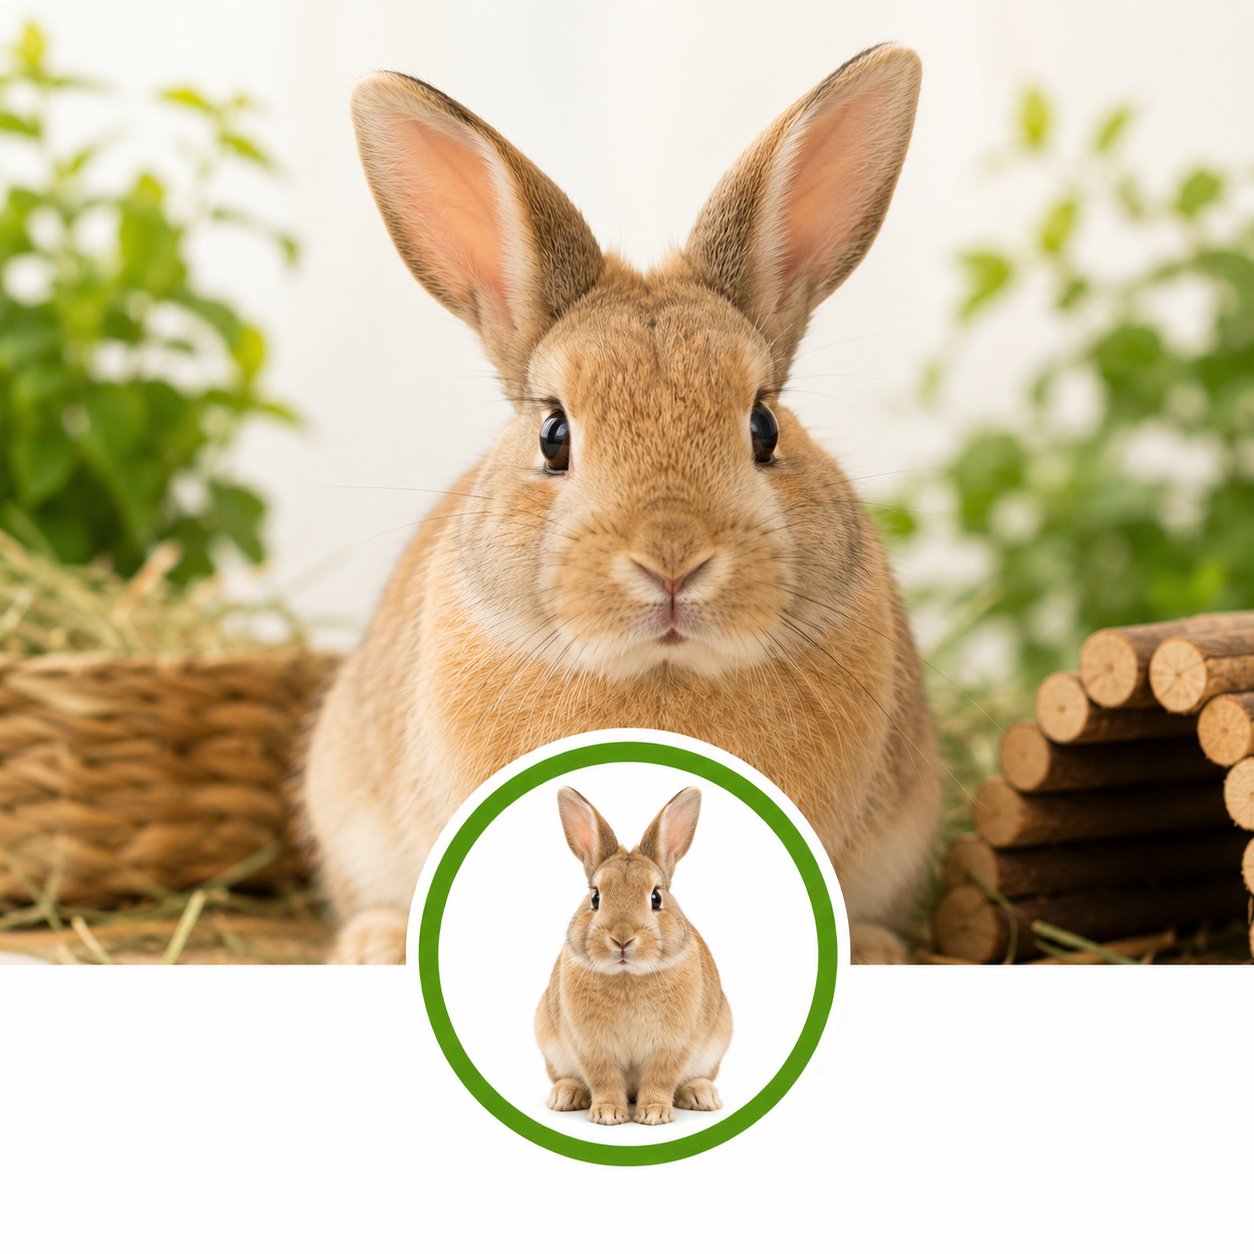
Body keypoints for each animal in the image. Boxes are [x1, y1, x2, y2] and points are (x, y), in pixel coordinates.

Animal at [535, 785, 732, 1126]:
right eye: (595, 898)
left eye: (656, 898)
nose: (622, 937)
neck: (628, 974)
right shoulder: (591, 1047)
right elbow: (602, 1079)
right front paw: (608, 1114)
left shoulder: (672, 1047)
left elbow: (661, 1079)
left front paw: (654, 1115)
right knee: (564, 1076)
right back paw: (566, 1096)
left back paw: (701, 1096)